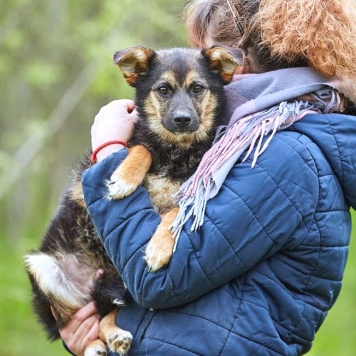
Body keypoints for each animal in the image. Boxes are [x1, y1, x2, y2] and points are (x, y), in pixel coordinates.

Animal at [24, 45, 242, 356]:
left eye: (198, 88)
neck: (175, 150)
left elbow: (175, 212)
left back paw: (114, 336)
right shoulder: (116, 154)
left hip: (123, 287)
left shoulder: (194, 191)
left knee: (104, 316)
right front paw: (125, 178)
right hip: (42, 267)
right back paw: (95, 345)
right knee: (76, 320)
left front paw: (159, 249)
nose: (182, 119)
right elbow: (141, 148)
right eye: (162, 89)